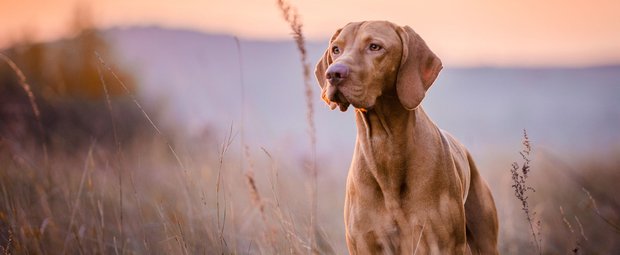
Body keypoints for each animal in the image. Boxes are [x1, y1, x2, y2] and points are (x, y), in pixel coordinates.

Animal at [314, 20, 498, 254]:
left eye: (375, 47)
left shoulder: (441, 243)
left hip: (485, 241)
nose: (333, 74)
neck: (385, 145)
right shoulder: (364, 243)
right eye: (336, 49)